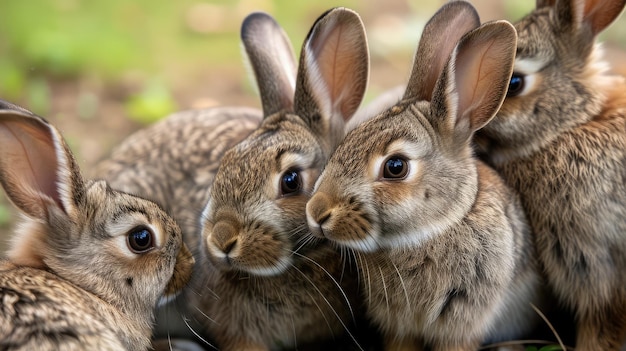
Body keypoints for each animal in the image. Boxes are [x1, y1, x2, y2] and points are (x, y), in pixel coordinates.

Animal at [304, 1, 544, 350]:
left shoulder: (462, 321)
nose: (317, 212)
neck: (431, 232)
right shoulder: (398, 325)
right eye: (347, 141)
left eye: (395, 167)